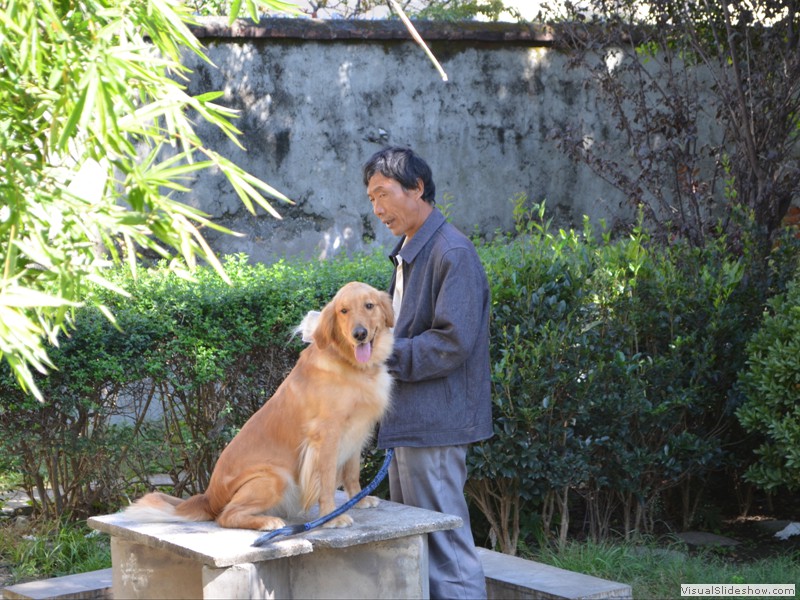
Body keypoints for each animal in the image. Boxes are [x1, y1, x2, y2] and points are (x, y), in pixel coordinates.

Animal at [124, 282, 394, 528]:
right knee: (226, 516)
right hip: (275, 477)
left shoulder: (355, 432)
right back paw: (268, 522)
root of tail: (208, 497)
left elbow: (351, 473)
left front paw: (359, 500)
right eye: (343, 311)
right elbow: (326, 480)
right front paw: (331, 517)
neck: (350, 363)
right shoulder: (326, 436)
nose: (359, 334)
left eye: (369, 305)